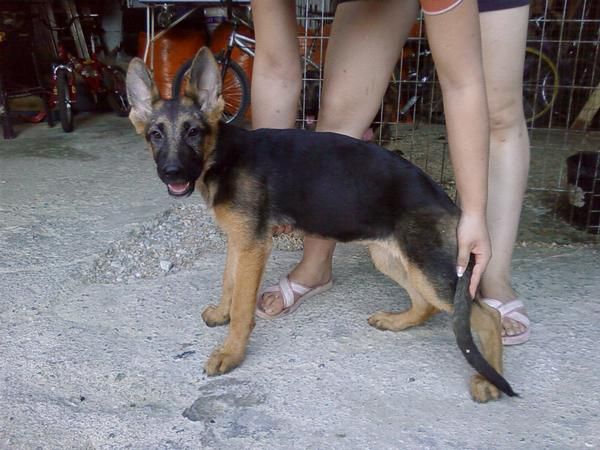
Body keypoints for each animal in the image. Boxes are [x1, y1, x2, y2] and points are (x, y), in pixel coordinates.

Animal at [125, 47, 516, 402]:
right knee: (427, 305)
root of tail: (450, 202)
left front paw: (231, 353)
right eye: (156, 135)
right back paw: (395, 321)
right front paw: (221, 312)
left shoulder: (253, 246)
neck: (221, 155)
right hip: (392, 258)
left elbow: (243, 306)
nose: (172, 173)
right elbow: (229, 283)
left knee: (485, 317)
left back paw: (489, 380)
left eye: (193, 132)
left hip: (426, 267)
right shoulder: (240, 241)